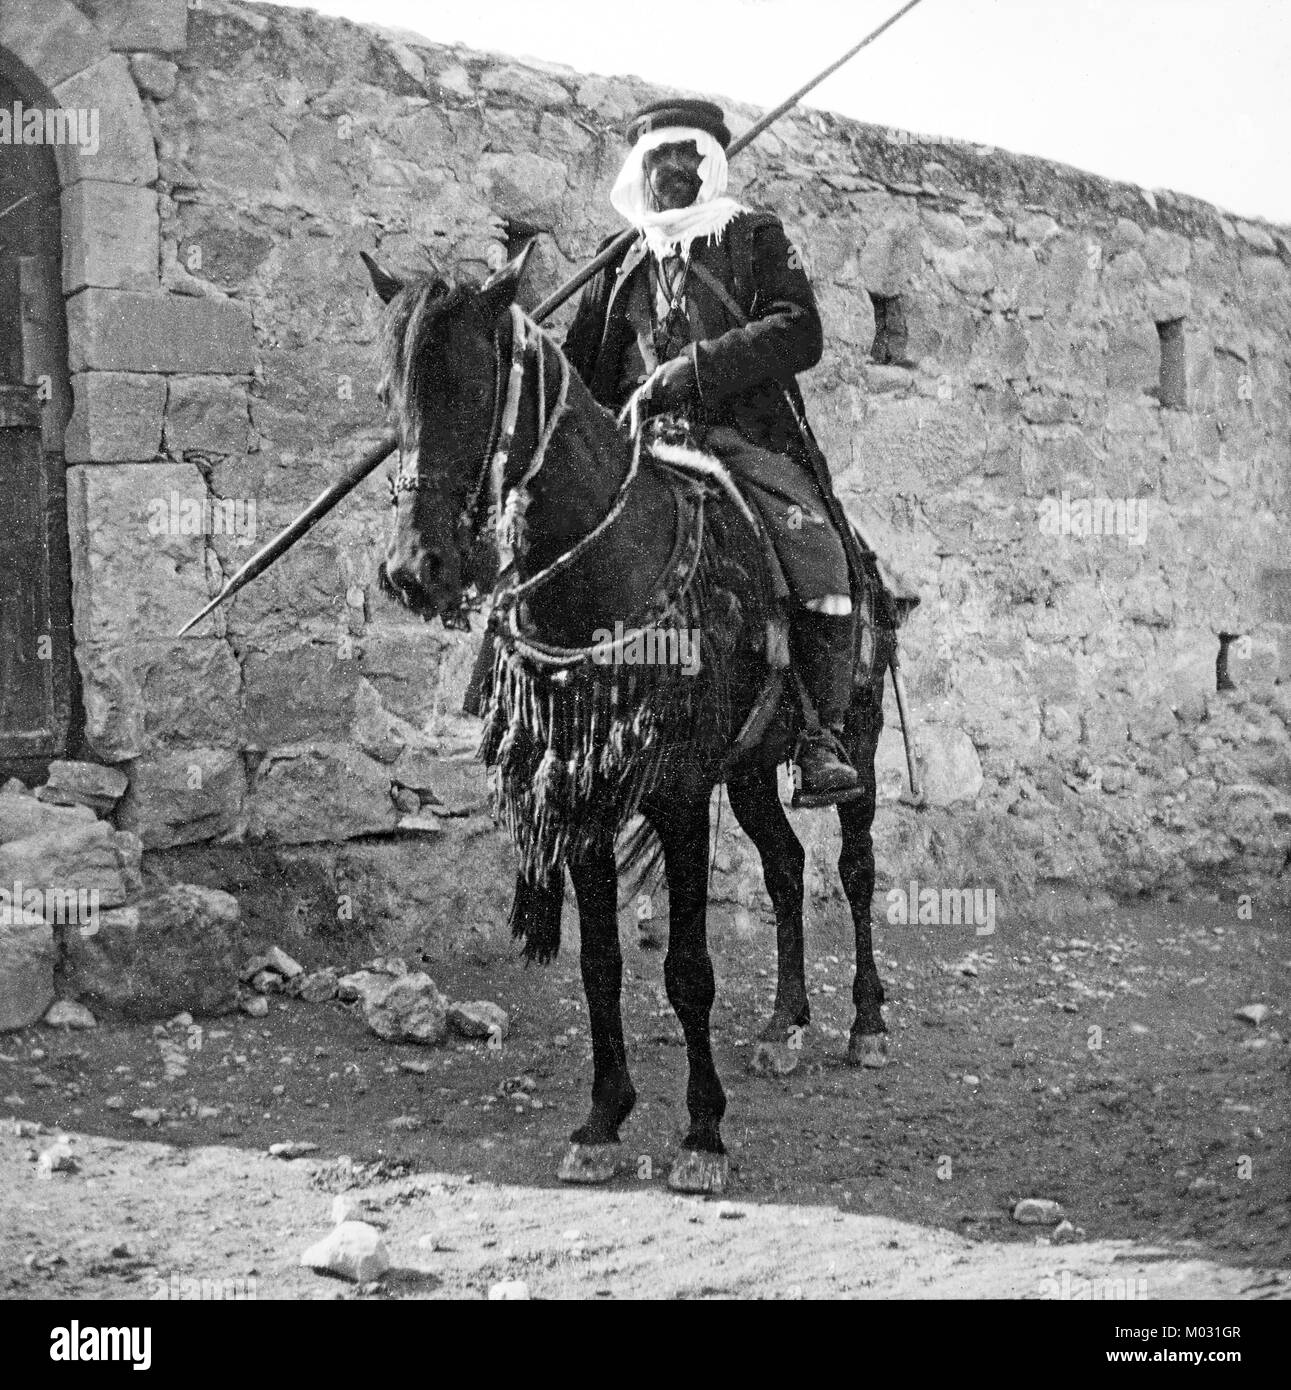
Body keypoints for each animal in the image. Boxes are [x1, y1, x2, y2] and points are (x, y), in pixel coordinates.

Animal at [361, 241, 889, 1195]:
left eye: (469, 382)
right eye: (388, 392)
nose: (415, 569)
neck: (607, 565)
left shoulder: (674, 794)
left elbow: (687, 970)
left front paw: (702, 1136)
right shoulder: (584, 793)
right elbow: (600, 965)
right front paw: (602, 1122)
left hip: (855, 744)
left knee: (856, 867)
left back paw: (865, 1024)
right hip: (748, 769)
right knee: (787, 868)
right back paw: (785, 1025)